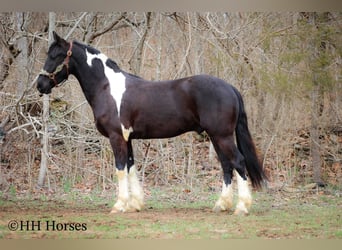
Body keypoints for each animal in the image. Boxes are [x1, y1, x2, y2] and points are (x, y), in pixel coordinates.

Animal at [37, 31, 268, 215]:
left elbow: (120, 168)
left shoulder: (116, 137)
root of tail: (230, 87)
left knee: (238, 162)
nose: (40, 85)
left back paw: (241, 207)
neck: (107, 87)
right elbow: (130, 166)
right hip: (216, 136)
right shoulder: (127, 138)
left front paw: (119, 205)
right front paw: (135, 204)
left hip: (222, 136)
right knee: (227, 165)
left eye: (55, 55)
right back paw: (222, 205)